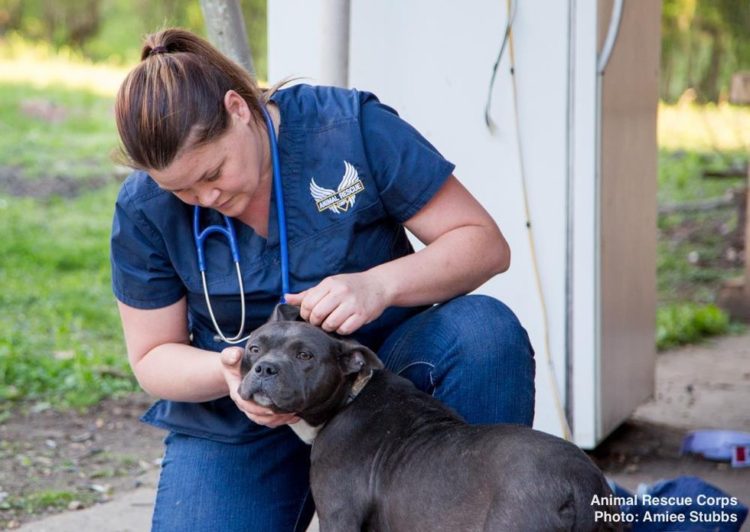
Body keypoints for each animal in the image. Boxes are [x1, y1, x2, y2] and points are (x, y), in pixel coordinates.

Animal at [238, 306, 620, 528]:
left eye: (305, 356)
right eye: (254, 348)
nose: (265, 368)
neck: (349, 395)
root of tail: (580, 482)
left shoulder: (337, 515)